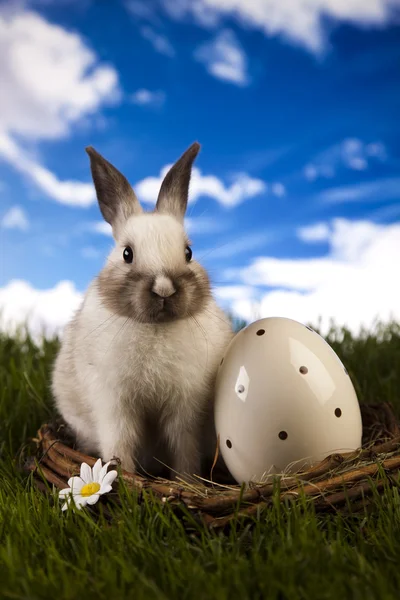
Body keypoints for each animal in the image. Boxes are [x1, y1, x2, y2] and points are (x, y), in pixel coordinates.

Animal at [52, 141, 234, 478]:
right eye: (127, 254)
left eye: (188, 252)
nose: (164, 290)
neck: (155, 327)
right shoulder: (114, 406)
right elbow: (120, 441)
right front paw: (122, 476)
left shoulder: (186, 409)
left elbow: (183, 446)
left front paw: (185, 480)